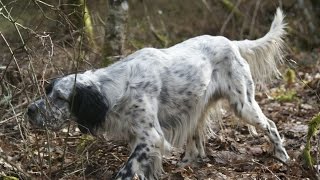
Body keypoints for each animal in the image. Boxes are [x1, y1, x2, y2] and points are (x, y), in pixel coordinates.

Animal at [26, 8, 288, 180]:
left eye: (60, 98)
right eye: (47, 91)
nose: (29, 110)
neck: (118, 87)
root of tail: (232, 42)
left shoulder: (150, 136)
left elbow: (127, 170)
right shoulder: (137, 135)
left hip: (243, 104)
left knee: (271, 125)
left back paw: (282, 156)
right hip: (197, 107)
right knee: (196, 143)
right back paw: (187, 164)